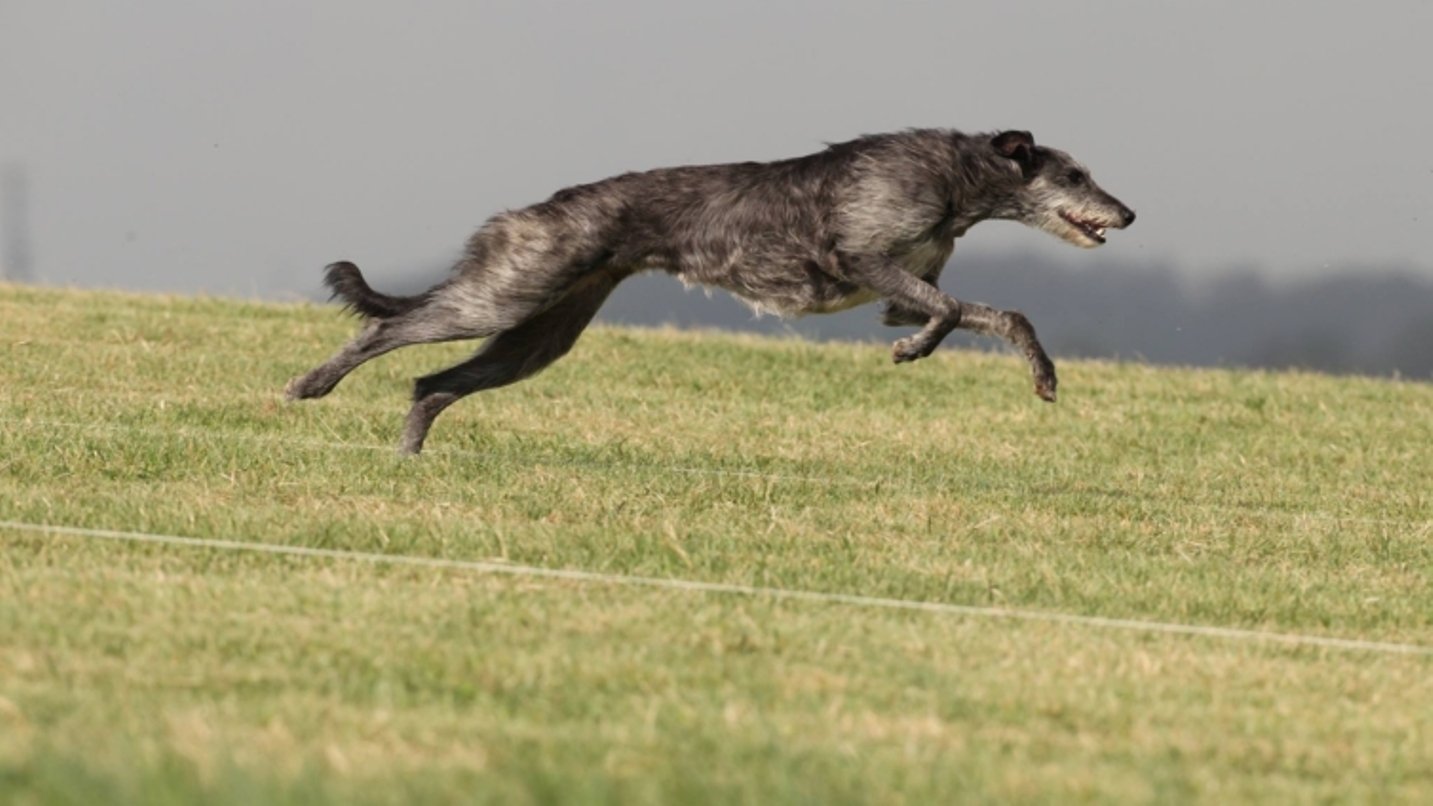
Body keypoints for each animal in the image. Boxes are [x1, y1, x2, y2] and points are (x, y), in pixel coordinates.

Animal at [285, 126, 1134, 453]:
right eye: (1073, 175)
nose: (1127, 213)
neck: (954, 176)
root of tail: (530, 210)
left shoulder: (902, 286)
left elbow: (982, 313)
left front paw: (1033, 375)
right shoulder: (863, 257)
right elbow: (959, 309)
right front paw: (919, 353)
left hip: (538, 334)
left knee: (430, 382)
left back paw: (406, 455)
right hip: (506, 294)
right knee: (385, 330)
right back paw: (311, 384)